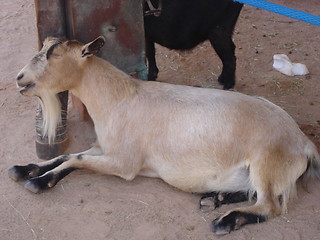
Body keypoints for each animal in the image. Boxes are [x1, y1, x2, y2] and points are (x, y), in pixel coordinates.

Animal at [9, 36, 320, 234]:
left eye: (55, 54)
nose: (20, 78)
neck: (119, 98)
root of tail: (304, 143)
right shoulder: (104, 148)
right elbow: (68, 155)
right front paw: (23, 169)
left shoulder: (124, 162)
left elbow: (76, 160)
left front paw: (38, 182)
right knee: (251, 193)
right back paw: (213, 199)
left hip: (267, 164)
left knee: (269, 205)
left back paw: (224, 221)